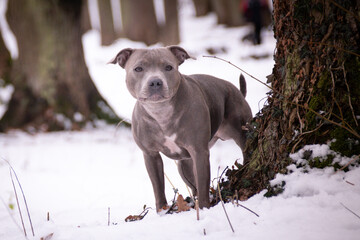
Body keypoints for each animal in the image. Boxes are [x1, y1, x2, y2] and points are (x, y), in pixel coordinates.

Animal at [110, 46, 253, 211]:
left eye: (168, 67)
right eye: (138, 68)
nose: (155, 82)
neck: (161, 112)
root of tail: (237, 91)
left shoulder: (199, 151)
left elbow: (203, 185)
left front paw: (204, 209)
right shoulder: (150, 155)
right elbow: (158, 188)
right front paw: (162, 211)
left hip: (241, 132)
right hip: (184, 165)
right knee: (193, 185)